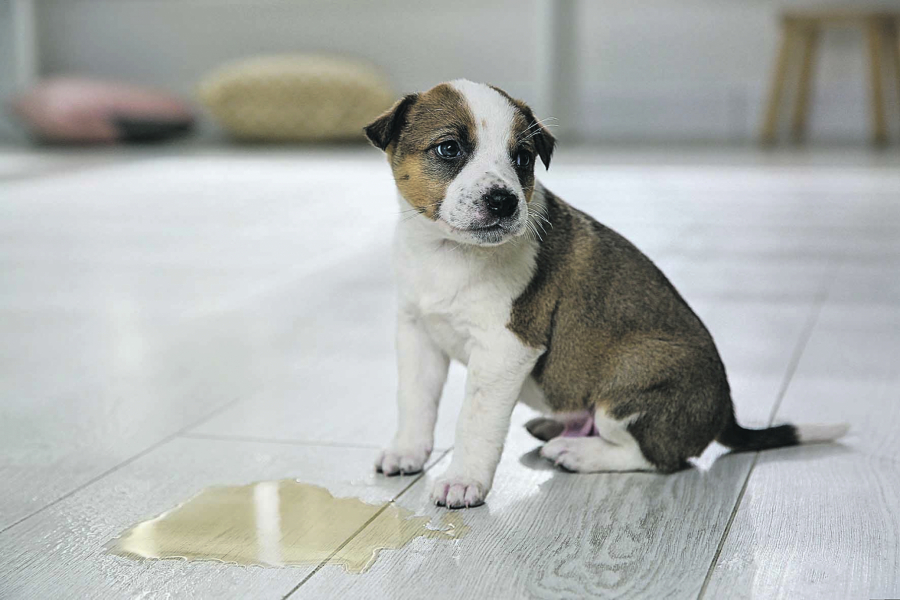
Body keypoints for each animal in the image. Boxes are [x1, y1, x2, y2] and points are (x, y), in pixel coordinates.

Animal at [362, 81, 848, 510]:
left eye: (522, 158)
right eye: (449, 149)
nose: (504, 201)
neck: (447, 253)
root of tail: (726, 413)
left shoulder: (505, 349)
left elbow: (475, 422)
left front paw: (464, 481)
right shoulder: (418, 333)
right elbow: (415, 401)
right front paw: (407, 451)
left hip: (632, 380)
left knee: (659, 457)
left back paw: (577, 453)